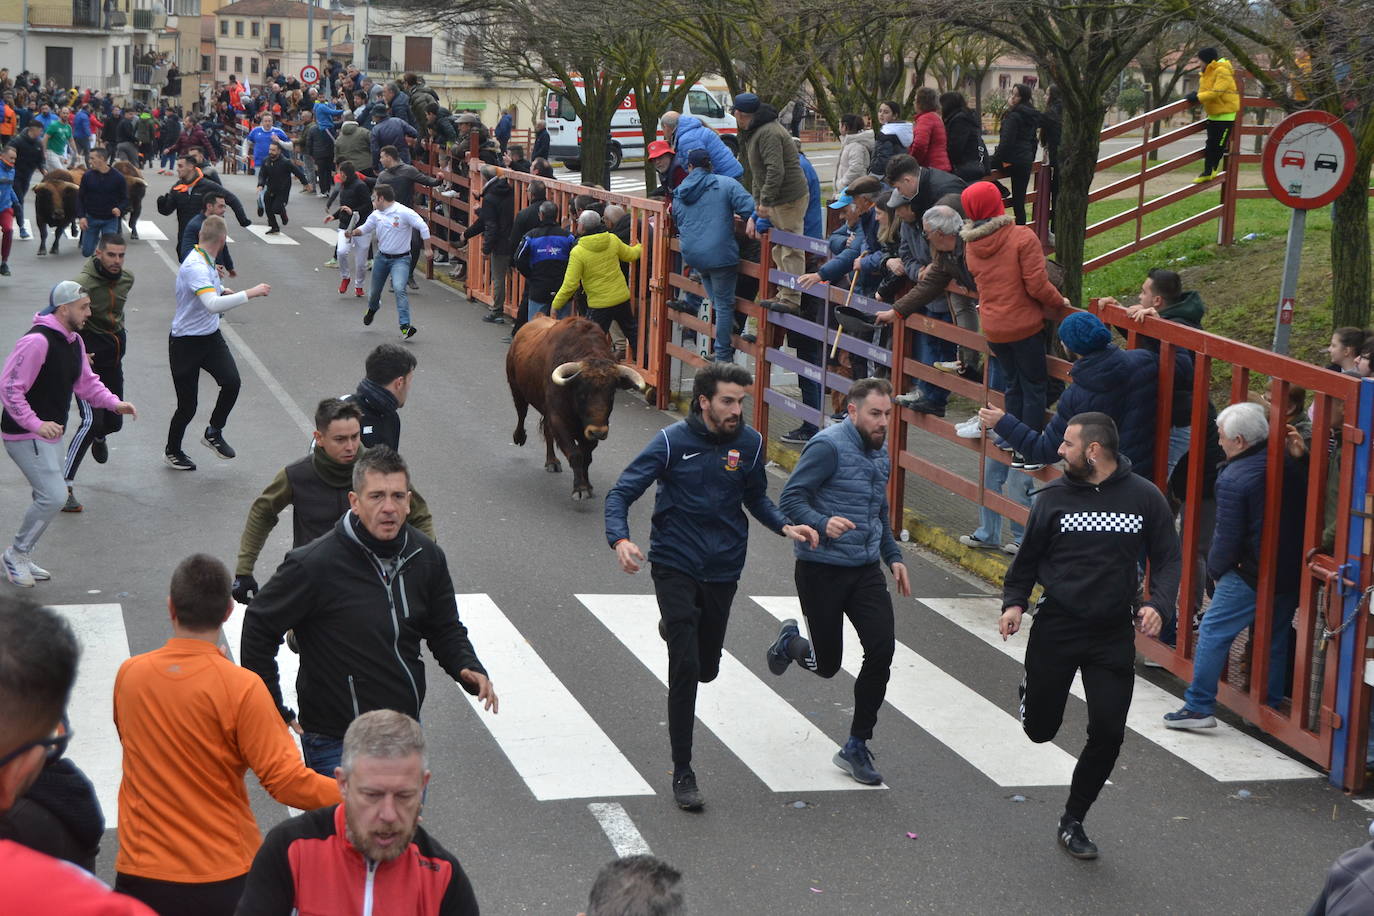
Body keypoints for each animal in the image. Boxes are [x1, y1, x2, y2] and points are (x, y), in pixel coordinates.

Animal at [508, 315, 651, 502]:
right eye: (582, 393)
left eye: (612, 393)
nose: (598, 432)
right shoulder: (558, 419)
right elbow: (576, 454)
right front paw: (580, 488)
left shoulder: (589, 430)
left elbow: (586, 457)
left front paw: (587, 485)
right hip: (517, 389)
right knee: (521, 412)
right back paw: (519, 437)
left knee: (546, 431)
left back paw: (552, 461)